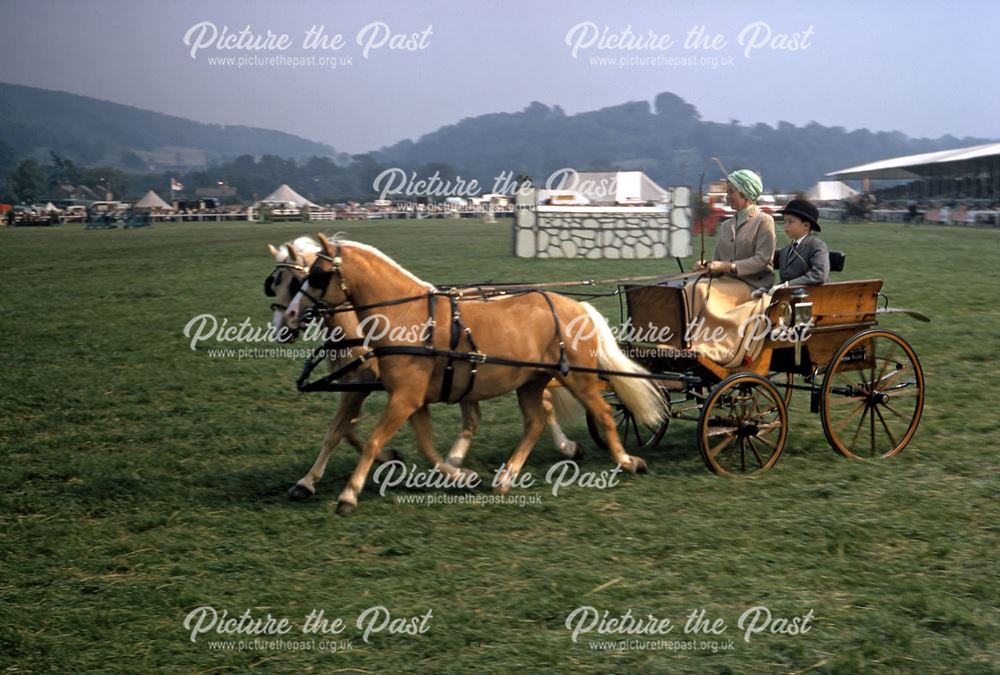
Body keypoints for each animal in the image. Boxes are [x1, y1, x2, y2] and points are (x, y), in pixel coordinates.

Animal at [286, 235, 668, 516]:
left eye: (317, 275)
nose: (290, 316)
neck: (408, 317)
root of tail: (577, 306)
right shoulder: (412, 399)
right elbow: (425, 446)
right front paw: (460, 475)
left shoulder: (404, 398)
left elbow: (375, 441)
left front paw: (348, 495)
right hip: (531, 382)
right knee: (536, 421)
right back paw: (507, 476)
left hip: (578, 378)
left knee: (601, 413)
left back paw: (626, 461)